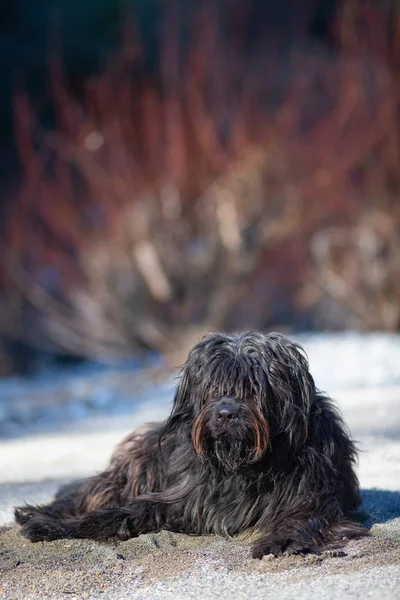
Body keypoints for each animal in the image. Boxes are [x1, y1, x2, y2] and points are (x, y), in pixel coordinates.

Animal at [15, 330, 368, 556]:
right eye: (213, 387)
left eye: (254, 386)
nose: (225, 413)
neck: (242, 465)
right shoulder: (182, 497)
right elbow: (121, 511)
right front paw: (51, 526)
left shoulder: (314, 497)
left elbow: (304, 518)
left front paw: (282, 540)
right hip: (141, 465)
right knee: (90, 492)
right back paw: (38, 512)